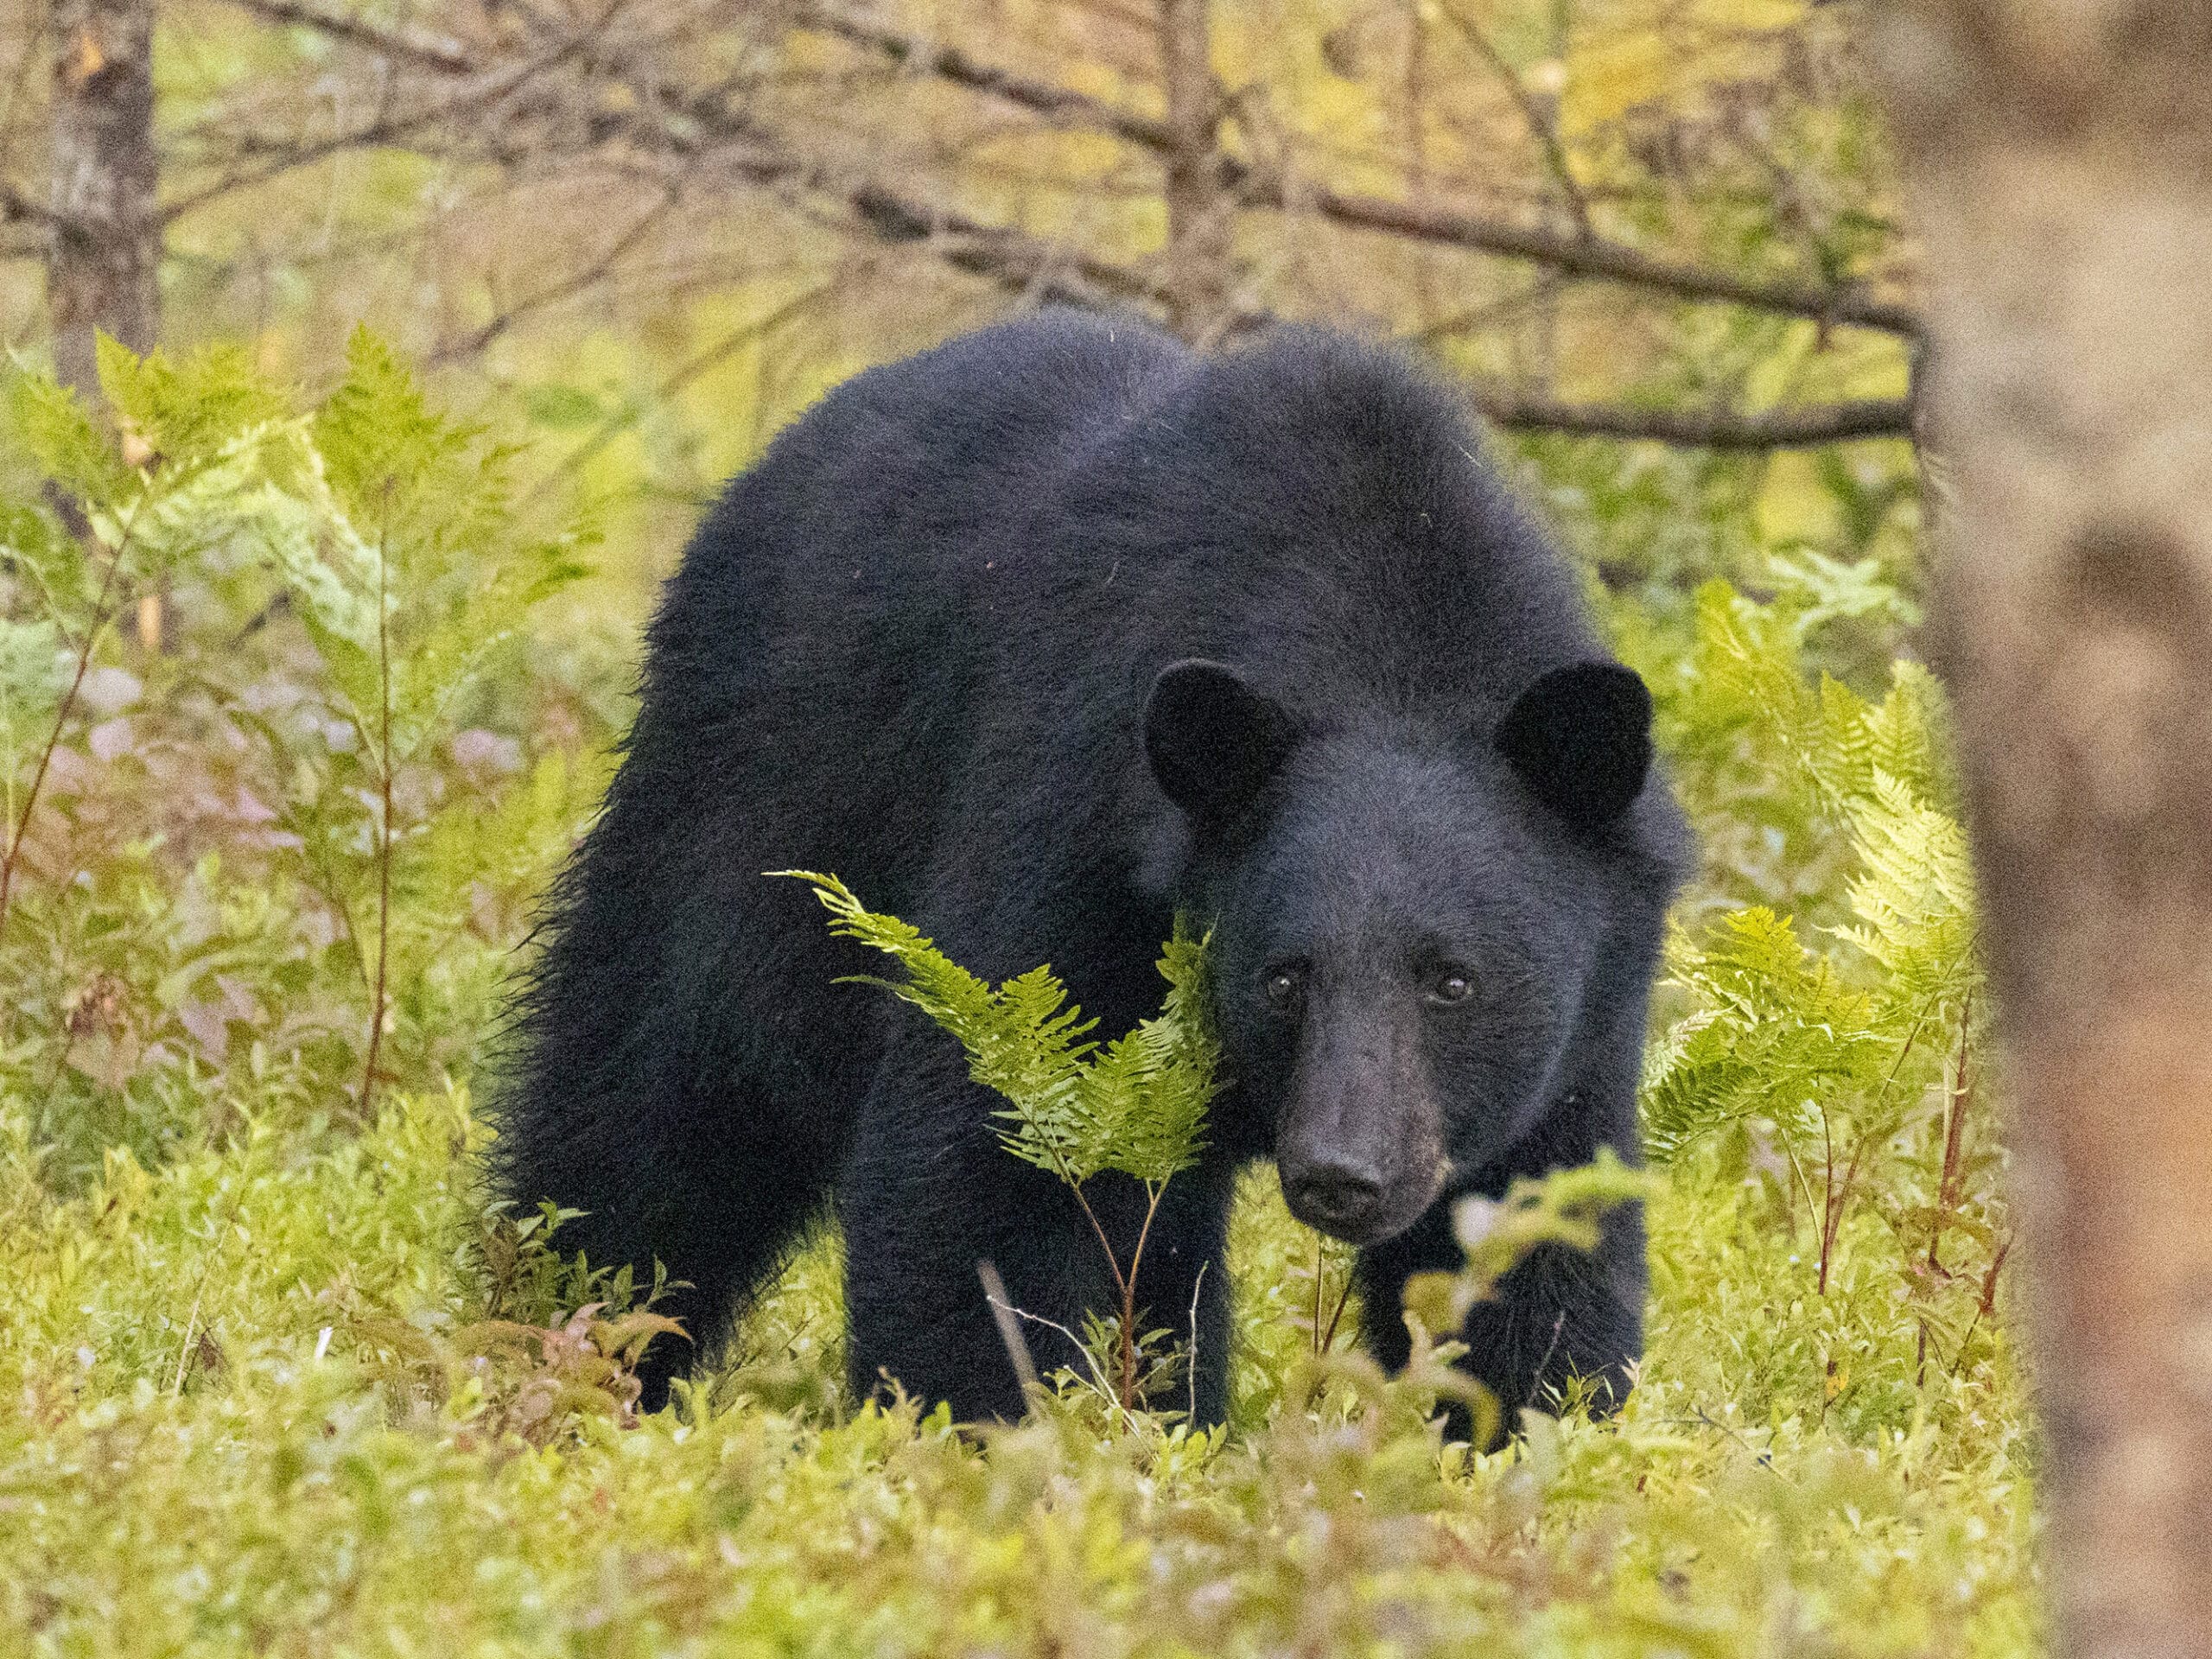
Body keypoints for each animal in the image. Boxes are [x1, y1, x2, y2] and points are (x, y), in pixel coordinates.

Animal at [498, 311, 1672, 1433]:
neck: (1382, 638)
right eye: (1283, 977)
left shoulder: (1582, 1031)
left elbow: (1539, 1250)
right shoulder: (1070, 844)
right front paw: (1004, 1441)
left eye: (1453, 980)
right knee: (649, 1116)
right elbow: (980, 1179)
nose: (1342, 1172)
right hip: (751, 822)